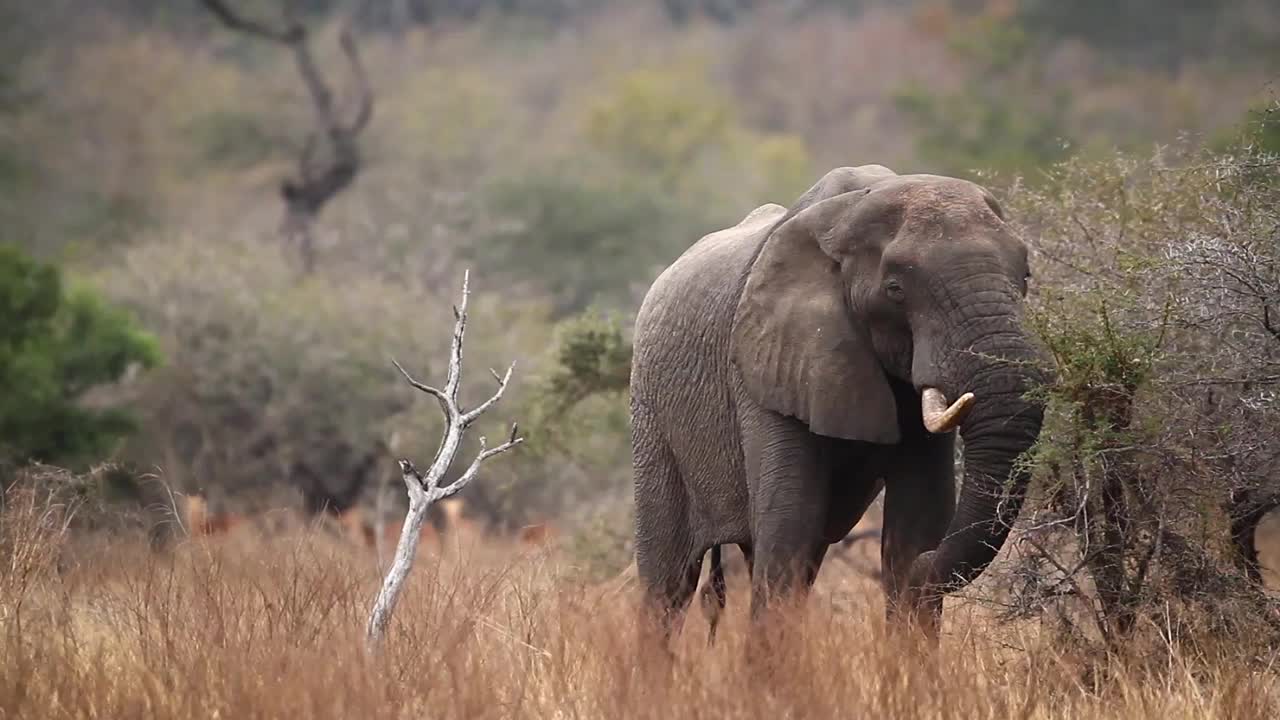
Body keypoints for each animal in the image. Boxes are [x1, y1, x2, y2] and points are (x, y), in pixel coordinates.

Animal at [624, 162, 1044, 638]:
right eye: (895, 289)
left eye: (1025, 277)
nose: (926, 572)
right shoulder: (766, 367)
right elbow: (790, 522)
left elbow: (919, 519)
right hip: (651, 419)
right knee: (668, 585)